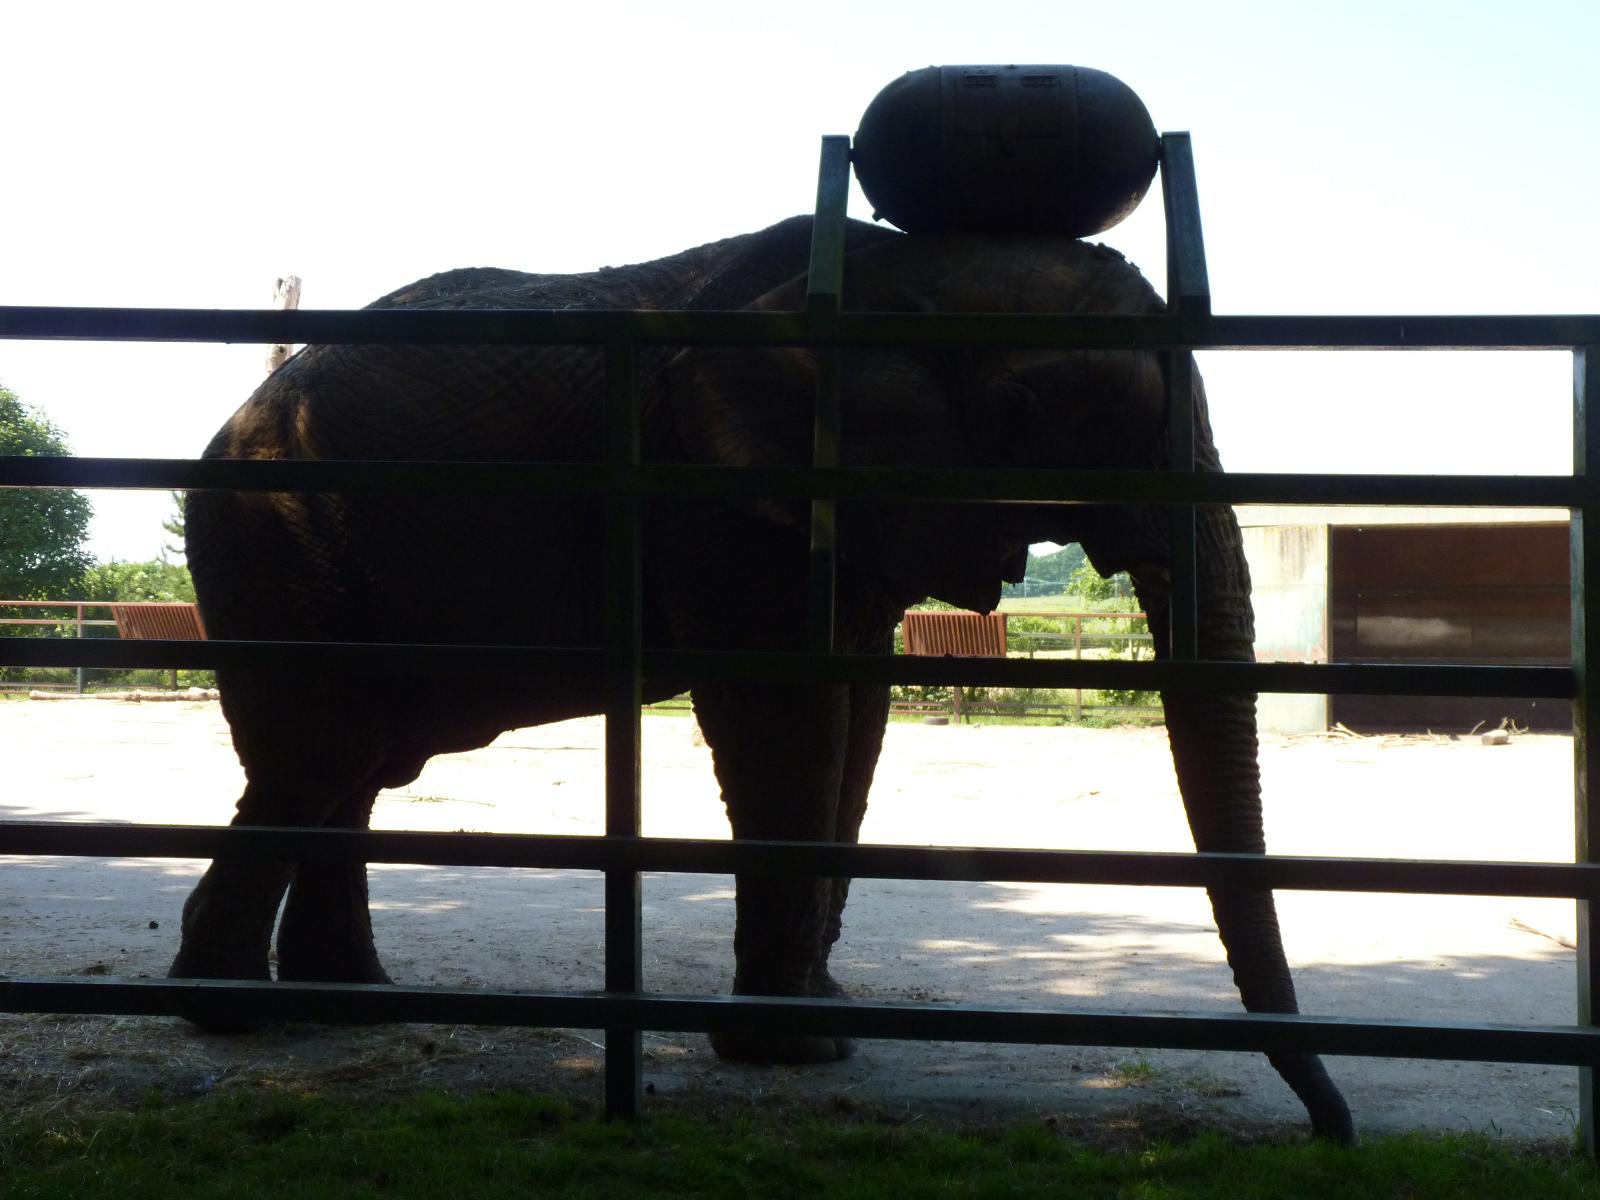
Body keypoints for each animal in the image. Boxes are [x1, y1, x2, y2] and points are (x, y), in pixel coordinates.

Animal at [166, 214, 1354, 1142]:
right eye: (1023, 418)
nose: (1332, 1131)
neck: (891, 264)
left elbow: (857, 713)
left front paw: (827, 1015)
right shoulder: (719, 499)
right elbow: (789, 712)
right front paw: (796, 1051)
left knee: (353, 764)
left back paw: (350, 1003)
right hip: (272, 540)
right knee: (324, 752)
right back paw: (228, 1011)